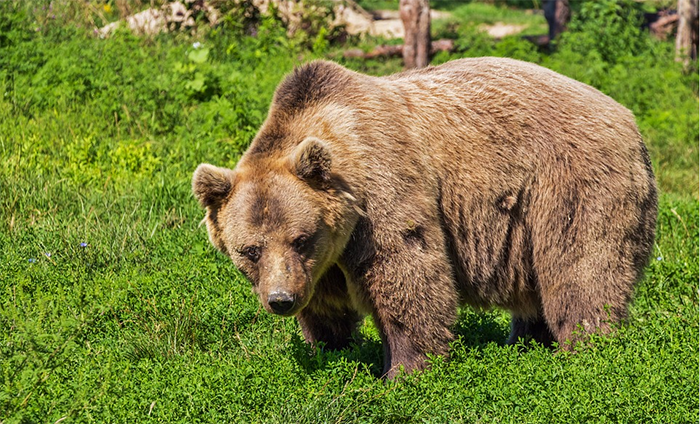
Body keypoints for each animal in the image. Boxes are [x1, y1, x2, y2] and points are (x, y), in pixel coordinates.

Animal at [192, 57, 658, 379]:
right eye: (250, 250)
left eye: (300, 238)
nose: (280, 300)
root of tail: (629, 118)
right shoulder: (322, 261)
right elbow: (326, 307)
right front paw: (332, 349)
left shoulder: (382, 192)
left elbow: (408, 274)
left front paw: (404, 370)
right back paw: (525, 343)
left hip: (570, 184)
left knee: (581, 270)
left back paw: (585, 349)